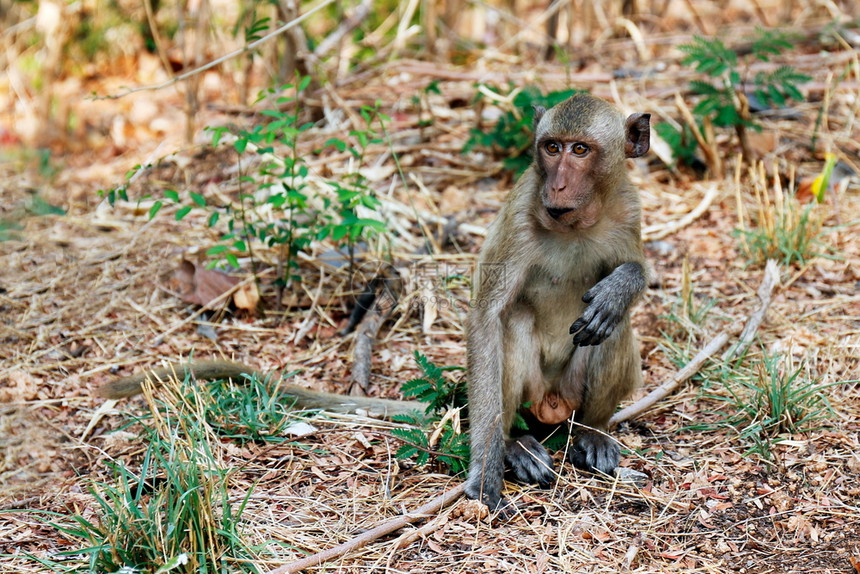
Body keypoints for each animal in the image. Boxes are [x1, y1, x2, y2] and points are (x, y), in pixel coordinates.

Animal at [466, 92, 648, 510]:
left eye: (580, 150)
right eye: (552, 148)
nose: (558, 186)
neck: (575, 223)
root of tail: (552, 403)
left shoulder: (628, 206)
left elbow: (637, 269)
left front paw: (620, 288)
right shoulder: (519, 214)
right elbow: (487, 319)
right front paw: (486, 469)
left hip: (572, 391)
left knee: (613, 326)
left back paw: (593, 434)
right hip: (532, 395)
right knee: (512, 320)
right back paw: (514, 445)